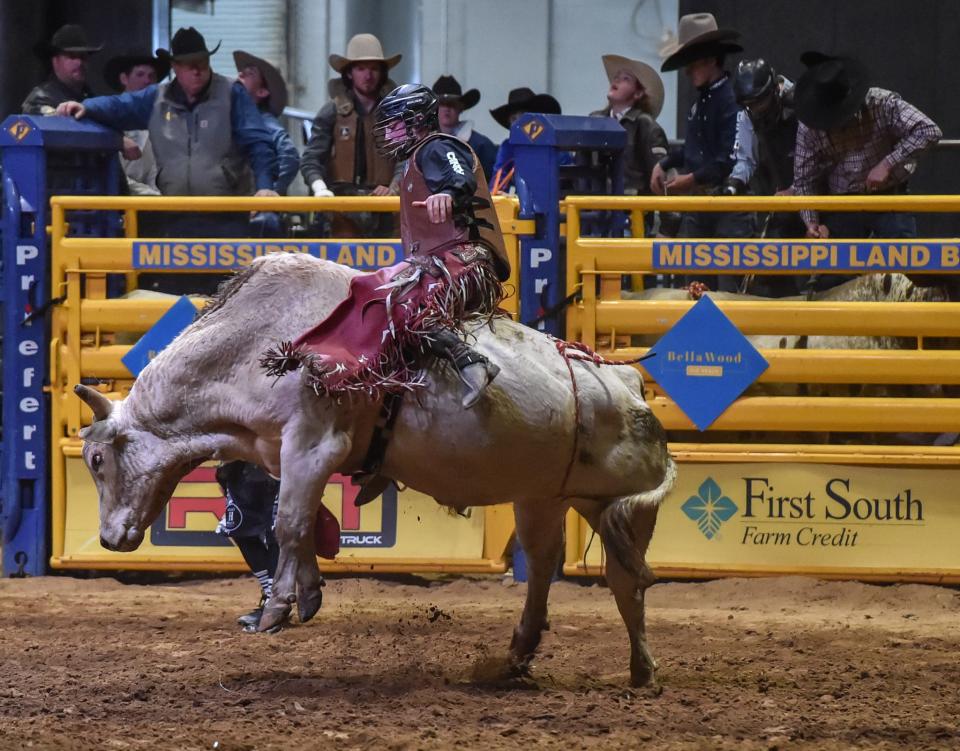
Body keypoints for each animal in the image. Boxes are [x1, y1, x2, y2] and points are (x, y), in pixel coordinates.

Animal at [75, 253, 676, 688]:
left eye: (98, 460)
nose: (106, 539)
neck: (250, 345)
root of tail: (627, 384)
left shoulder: (312, 445)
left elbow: (289, 524)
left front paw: (278, 610)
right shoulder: (283, 456)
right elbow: (295, 524)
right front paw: (305, 594)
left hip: (621, 507)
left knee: (628, 581)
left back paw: (641, 670)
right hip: (545, 499)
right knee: (550, 565)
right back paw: (521, 659)